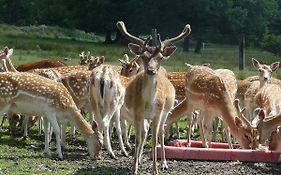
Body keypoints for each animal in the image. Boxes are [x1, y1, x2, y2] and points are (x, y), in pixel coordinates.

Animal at [116, 19, 190, 174]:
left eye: (160, 57)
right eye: (143, 57)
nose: (151, 70)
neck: (149, 102)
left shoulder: (157, 113)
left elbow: (154, 139)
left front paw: (155, 170)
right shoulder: (137, 113)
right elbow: (138, 139)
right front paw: (134, 168)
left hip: (165, 112)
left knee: (161, 133)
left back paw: (164, 163)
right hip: (146, 117)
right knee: (145, 132)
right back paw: (139, 158)